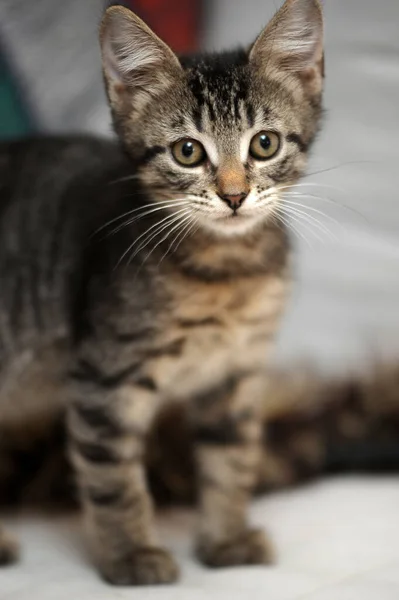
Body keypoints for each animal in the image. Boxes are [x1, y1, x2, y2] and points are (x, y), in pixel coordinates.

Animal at [0, 0, 324, 584]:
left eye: (264, 143)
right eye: (188, 152)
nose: (235, 195)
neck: (226, 272)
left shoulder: (236, 374)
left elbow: (231, 460)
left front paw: (226, 539)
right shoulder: (102, 379)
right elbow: (113, 479)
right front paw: (131, 554)